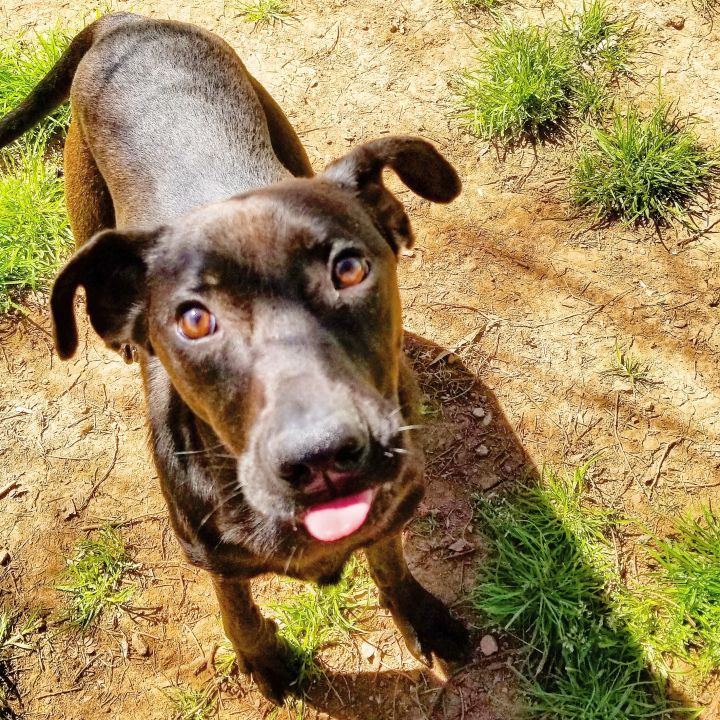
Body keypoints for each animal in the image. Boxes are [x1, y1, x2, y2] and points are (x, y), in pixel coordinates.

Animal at [0, 12, 466, 704]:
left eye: (349, 269)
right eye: (194, 319)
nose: (322, 457)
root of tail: (128, 20)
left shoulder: (391, 505)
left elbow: (388, 558)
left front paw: (419, 613)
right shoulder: (211, 553)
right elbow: (236, 608)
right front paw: (264, 660)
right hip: (85, 206)